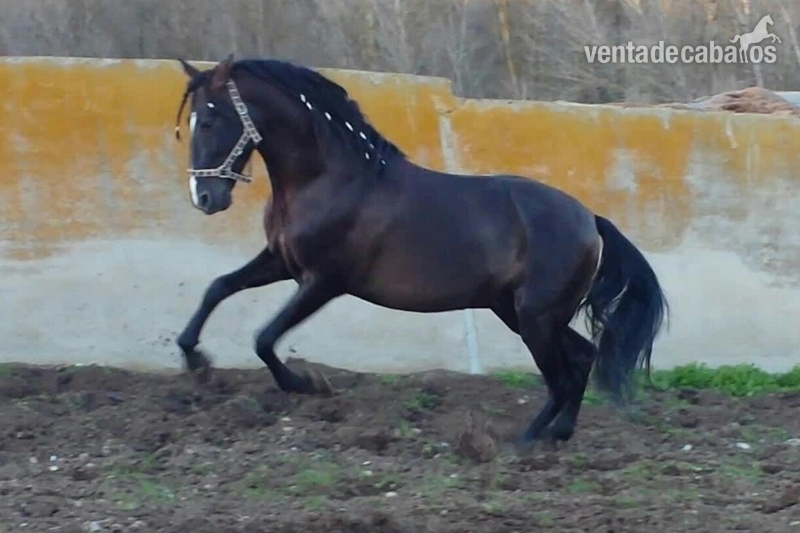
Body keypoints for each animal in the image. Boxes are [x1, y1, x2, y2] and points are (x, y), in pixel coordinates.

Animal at [172, 54, 669, 449]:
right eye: (190, 123)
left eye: (211, 119)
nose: (204, 198)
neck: (327, 179)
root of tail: (590, 220)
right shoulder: (282, 262)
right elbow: (219, 288)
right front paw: (196, 360)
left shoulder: (323, 281)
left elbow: (264, 337)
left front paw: (306, 384)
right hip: (520, 312)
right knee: (582, 359)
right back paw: (557, 434)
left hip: (535, 317)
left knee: (562, 376)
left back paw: (522, 443)